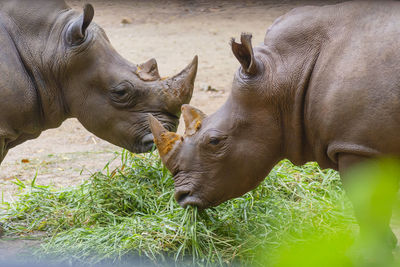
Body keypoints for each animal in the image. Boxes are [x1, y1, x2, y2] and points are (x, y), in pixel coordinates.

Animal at [149, 0, 400, 255]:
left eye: (214, 141)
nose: (181, 196)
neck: (283, 73)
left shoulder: (357, 145)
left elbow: (367, 207)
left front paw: (367, 253)